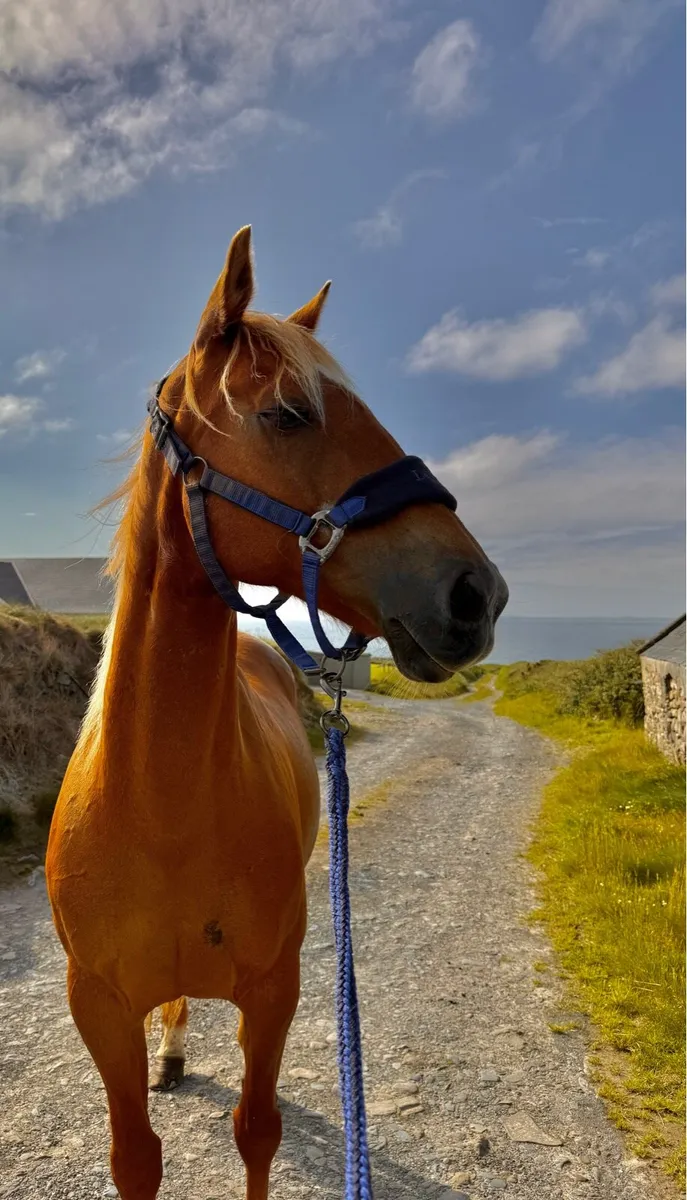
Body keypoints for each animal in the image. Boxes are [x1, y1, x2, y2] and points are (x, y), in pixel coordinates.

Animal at [46, 225, 508, 1200]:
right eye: (288, 413)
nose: (476, 593)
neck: (161, 804)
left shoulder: (275, 992)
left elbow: (255, 1132)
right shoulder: (97, 1008)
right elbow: (135, 1157)